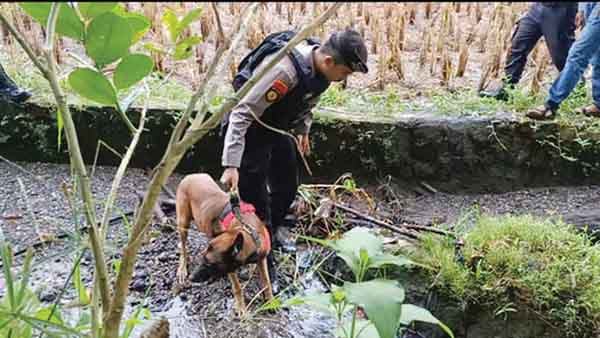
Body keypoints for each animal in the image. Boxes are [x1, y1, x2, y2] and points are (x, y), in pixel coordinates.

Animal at [176, 173, 274, 316]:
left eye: (209, 263)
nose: (192, 278)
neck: (248, 232)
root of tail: (191, 176)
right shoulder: (230, 268)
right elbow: (237, 287)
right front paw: (241, 307)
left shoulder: (261, 259)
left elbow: (267, 282)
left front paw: (271, 301)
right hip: (183, 222)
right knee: (183, 247)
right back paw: (182, 268)